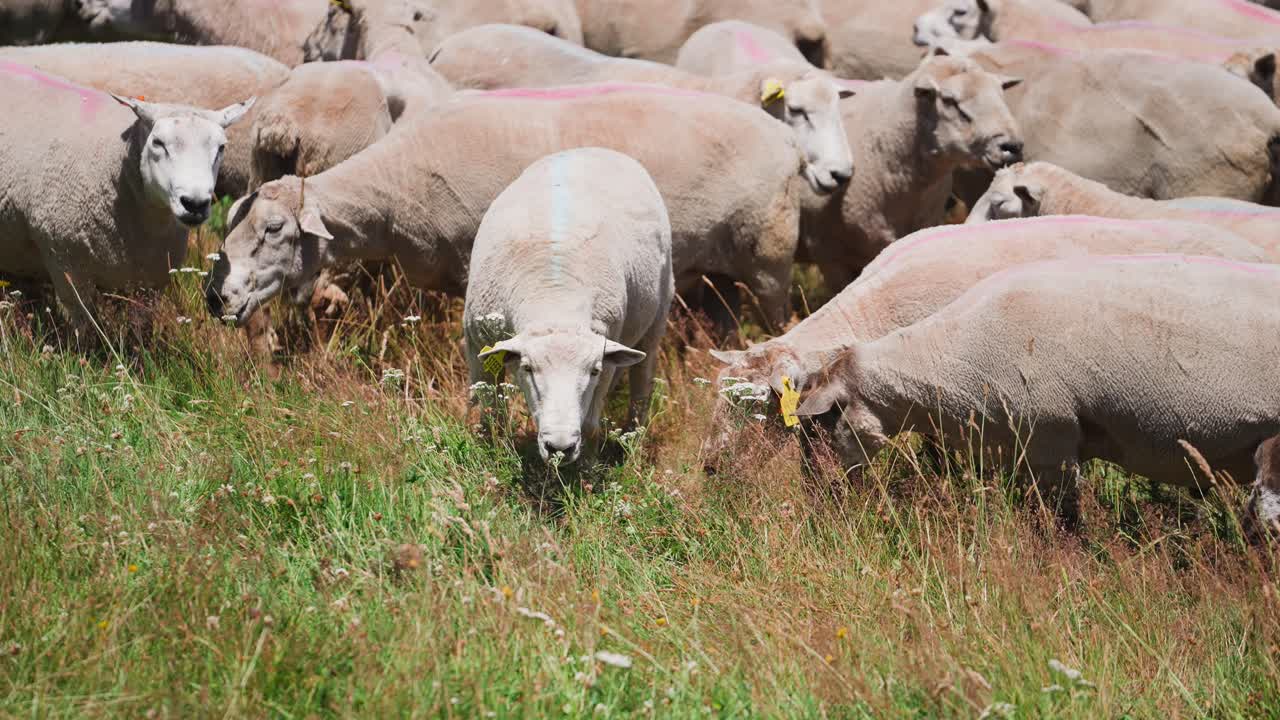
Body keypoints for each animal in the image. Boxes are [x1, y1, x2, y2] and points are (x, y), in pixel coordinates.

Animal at [0, 62, 253, 336]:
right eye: (158, 142)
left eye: (221, 147)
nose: (195, 204)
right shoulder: (66, 266)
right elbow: (86, 333)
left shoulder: (150, 280)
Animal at [205, 84, 805, 333]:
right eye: (229, 227)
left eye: (274, 229)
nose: (214, 298)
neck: (397, 190)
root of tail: (788, 142)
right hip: (724, 263)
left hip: (771, 256)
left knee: (783, 319)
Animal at [464, 148, 672, 463]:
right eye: (527, 368)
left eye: (593, 371)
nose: (559, 448)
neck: (554, 296)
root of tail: (595, 148)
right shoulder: (477, 342)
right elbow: (486, 405)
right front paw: (488, 449)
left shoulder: (606, 350)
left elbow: (589, 424)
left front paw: (586, 465)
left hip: (657, 316)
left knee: (642, 382)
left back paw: (632, 439)